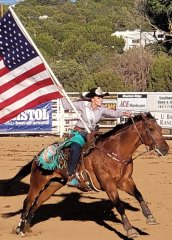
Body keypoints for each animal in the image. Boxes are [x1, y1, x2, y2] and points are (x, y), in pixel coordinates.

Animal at [5, 112, 169, 238]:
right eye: (150, 128)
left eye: (160, 128)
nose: (165, 149)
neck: (114, 151)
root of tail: (37, 156)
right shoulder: (108, 184)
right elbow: (119, 205)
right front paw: (130, 230)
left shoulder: (125, 181)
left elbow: (139, 195)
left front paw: (150, 217)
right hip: (37, 181)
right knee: (28, 202)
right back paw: (19, 229)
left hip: (55, 183)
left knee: (38, 202)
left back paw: (27, 227)